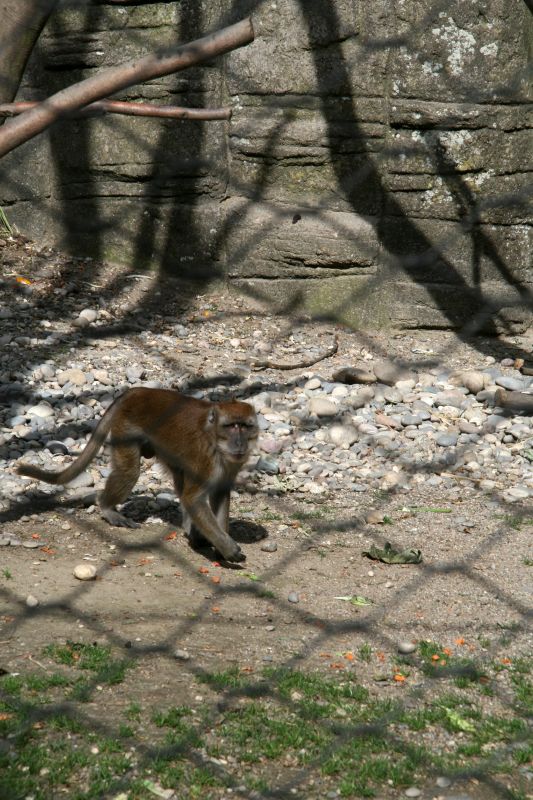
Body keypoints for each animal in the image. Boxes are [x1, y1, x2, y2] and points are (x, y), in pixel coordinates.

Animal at [16, 388, 258, 564]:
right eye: (231, 426)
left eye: (245, 426)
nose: (240, 443)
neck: (215, 441)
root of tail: (138, 391)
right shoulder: (204, 458)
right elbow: (194, 498)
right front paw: (226, 547)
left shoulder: (230, 463)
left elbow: (220, 493)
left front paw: (219, 546)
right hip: (126, 428)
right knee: (129, 472)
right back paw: (107, 507)